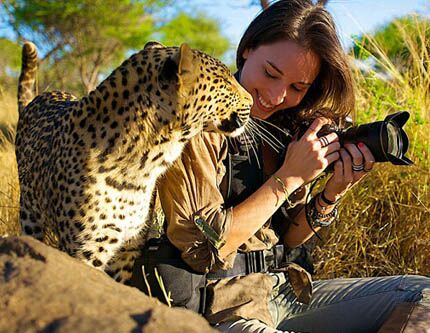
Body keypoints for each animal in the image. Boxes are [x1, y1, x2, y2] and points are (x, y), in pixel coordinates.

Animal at [15, 40, 252, 282]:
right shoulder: (84, 251)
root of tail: (39, 98)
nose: (251, 100)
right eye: (226, 81)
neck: (144, 161)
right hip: (30, 216)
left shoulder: (127, 249)